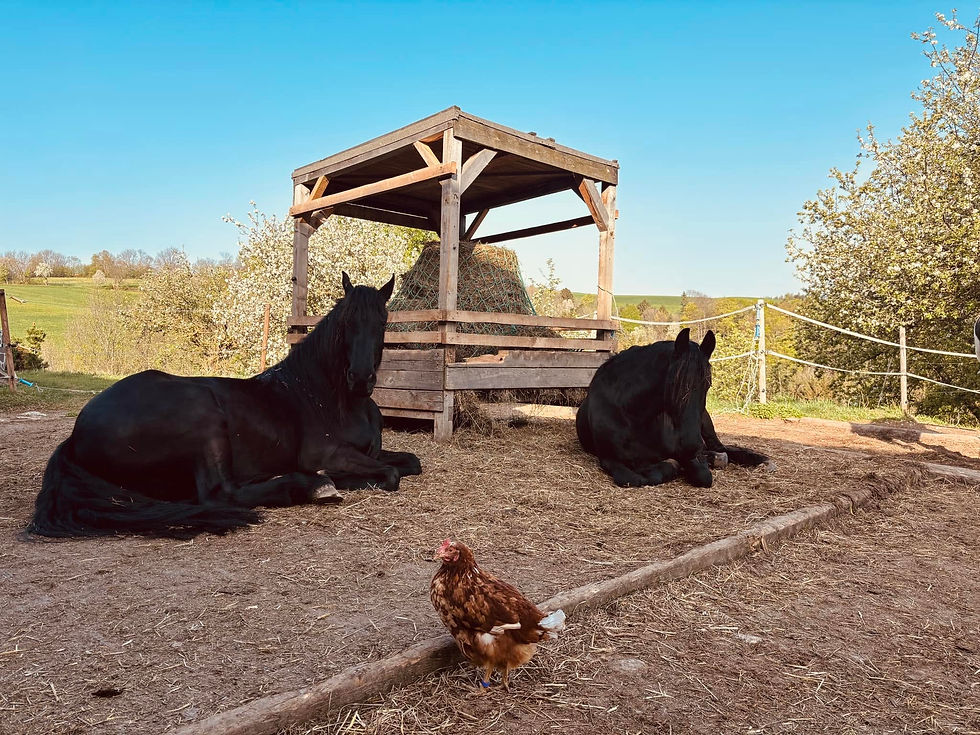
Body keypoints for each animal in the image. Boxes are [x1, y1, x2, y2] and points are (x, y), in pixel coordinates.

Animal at [27, 272, 422, 538]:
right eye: (346, 322)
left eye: (383, 322)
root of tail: (76, 433)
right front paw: (340, 478)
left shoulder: (373, 451)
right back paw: (314, 486)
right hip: (204, 417)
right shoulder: (327, 453)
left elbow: (411, 462)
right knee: (220, 494)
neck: (330, 397)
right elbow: (390, 474)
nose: (360, 378)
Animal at [576, 328, 768, 488]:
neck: (633, 416)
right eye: (674, 383)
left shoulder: (688, 456)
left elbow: (703, 476)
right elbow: (635, 478)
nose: (692, 444)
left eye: (708, 384)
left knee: (722, 449)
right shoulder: (609, 459)